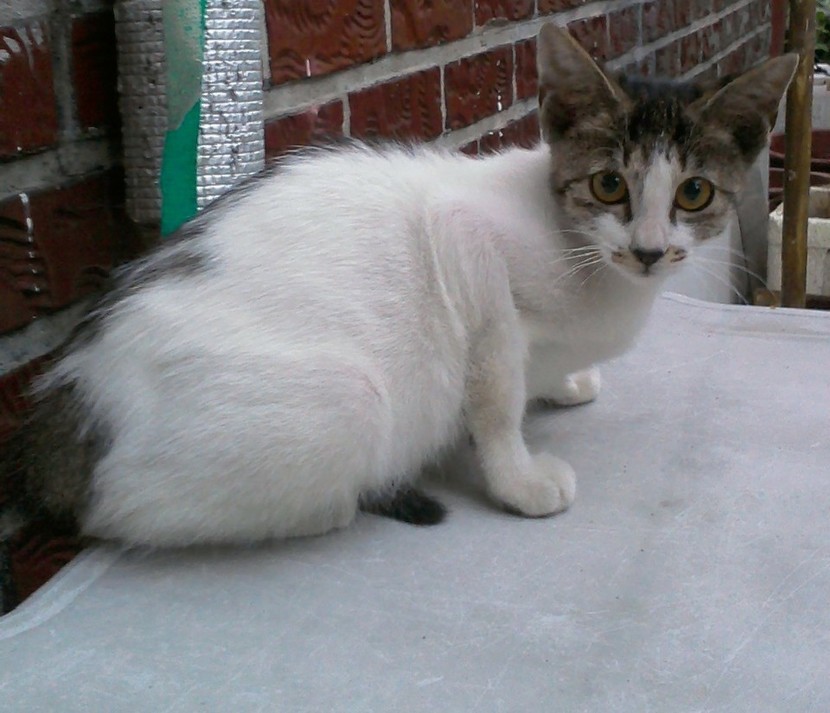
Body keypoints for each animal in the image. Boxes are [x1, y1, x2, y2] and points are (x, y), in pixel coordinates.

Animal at [0, 24, 796, 549]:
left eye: (694, 193)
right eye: (608, 185)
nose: (650, 250)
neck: (589, 261)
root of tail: (61, 420)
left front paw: (565, 383)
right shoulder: (464, 243)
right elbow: (495, 395)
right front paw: (518, 478)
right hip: (347, 401)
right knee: (122, 512)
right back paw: (343, 499)